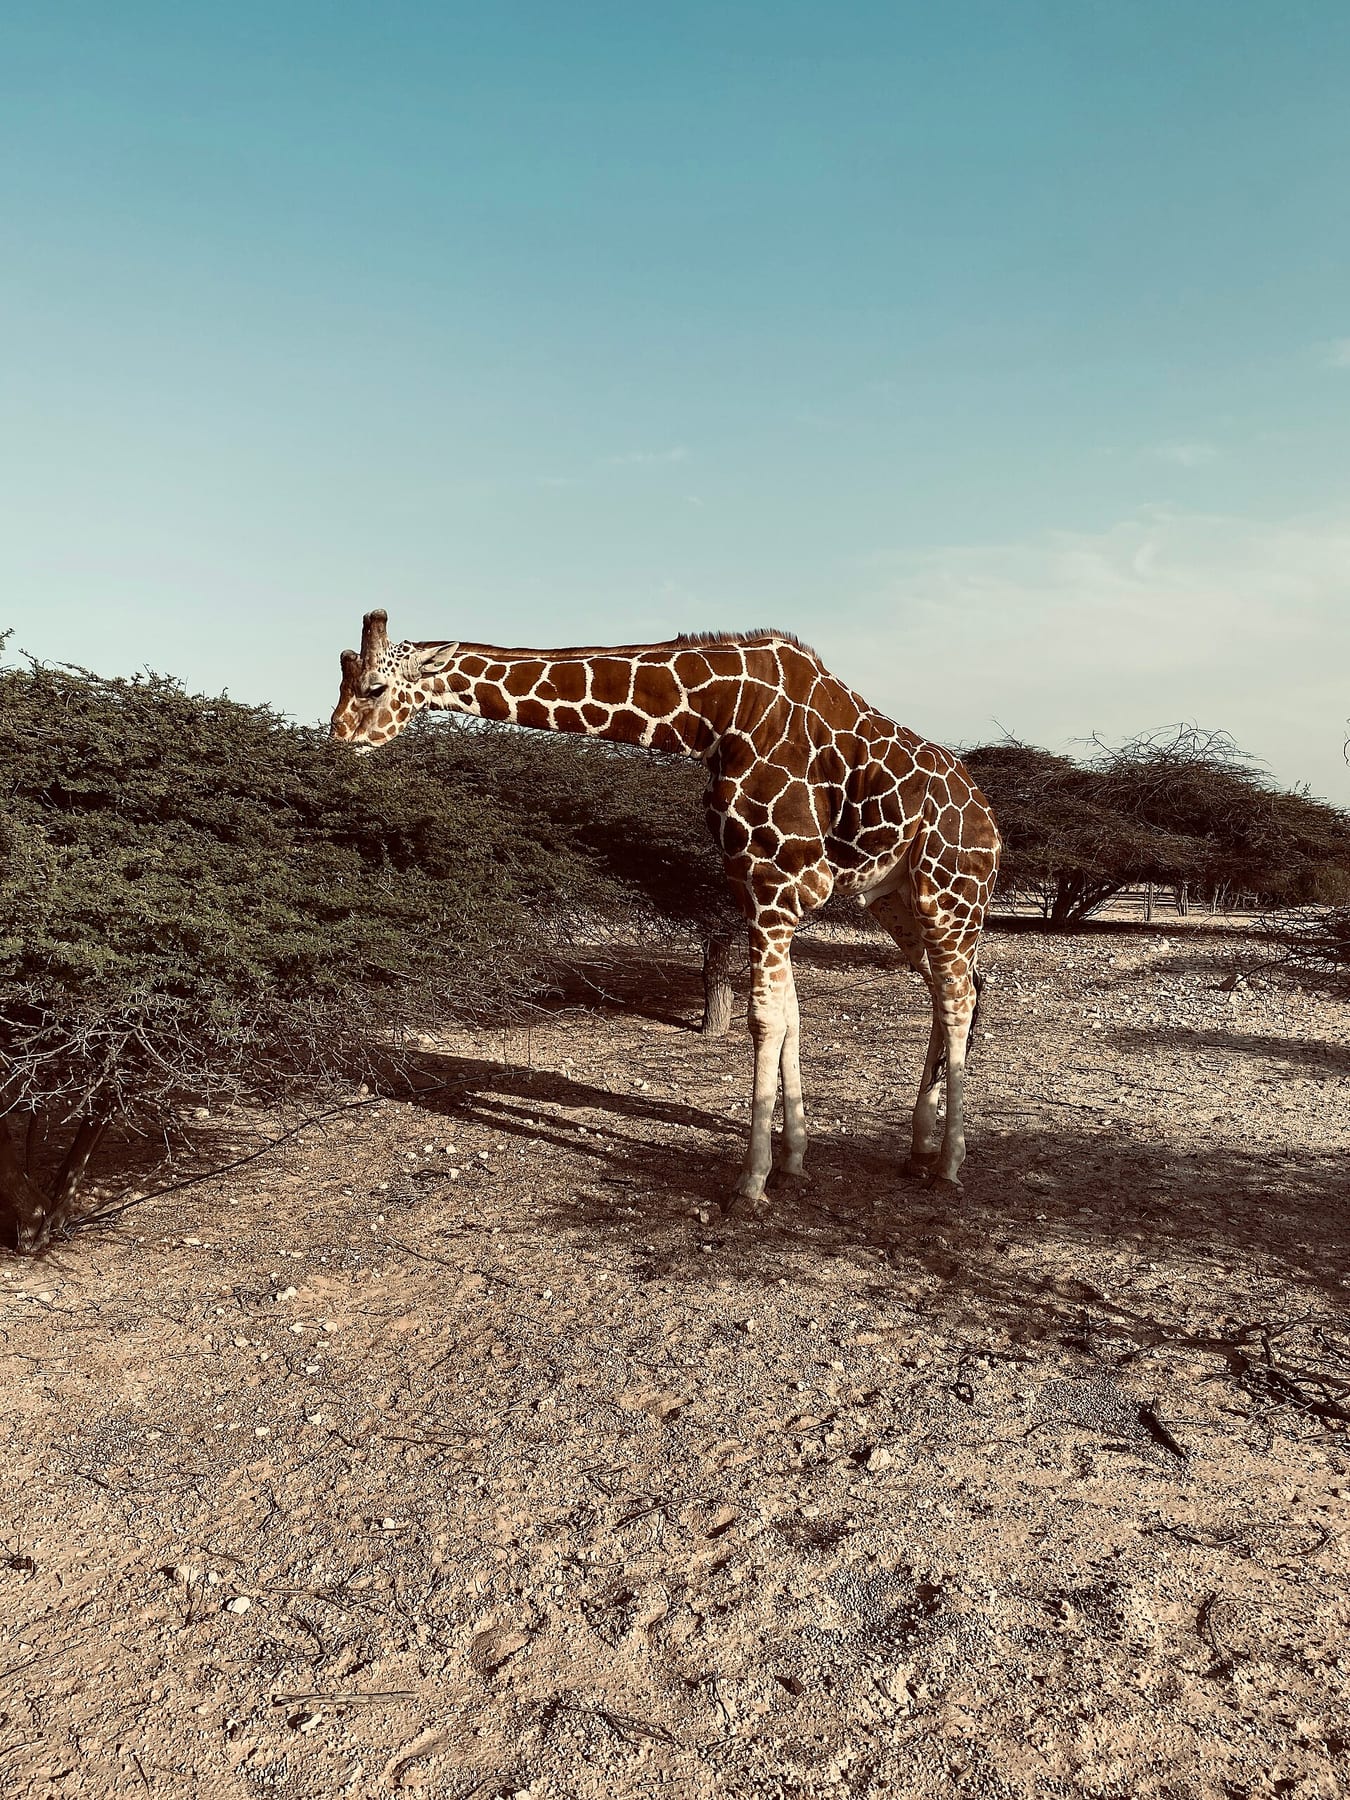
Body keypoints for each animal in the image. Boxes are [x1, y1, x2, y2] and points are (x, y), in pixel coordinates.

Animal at [331, 611, 1001, 1212]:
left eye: (375, 686)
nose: (337, 742)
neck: (714, 716)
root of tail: (990, 822)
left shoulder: (776, 882)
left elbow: (765, 1019)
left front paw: (750, 1185)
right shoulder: (758, 886)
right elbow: (790, 1013)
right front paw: (794, 1161)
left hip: (950, 894)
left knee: (958, 995)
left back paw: (948, 1165)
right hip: (898, 902)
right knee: (955, 989)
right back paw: (918, 1150)